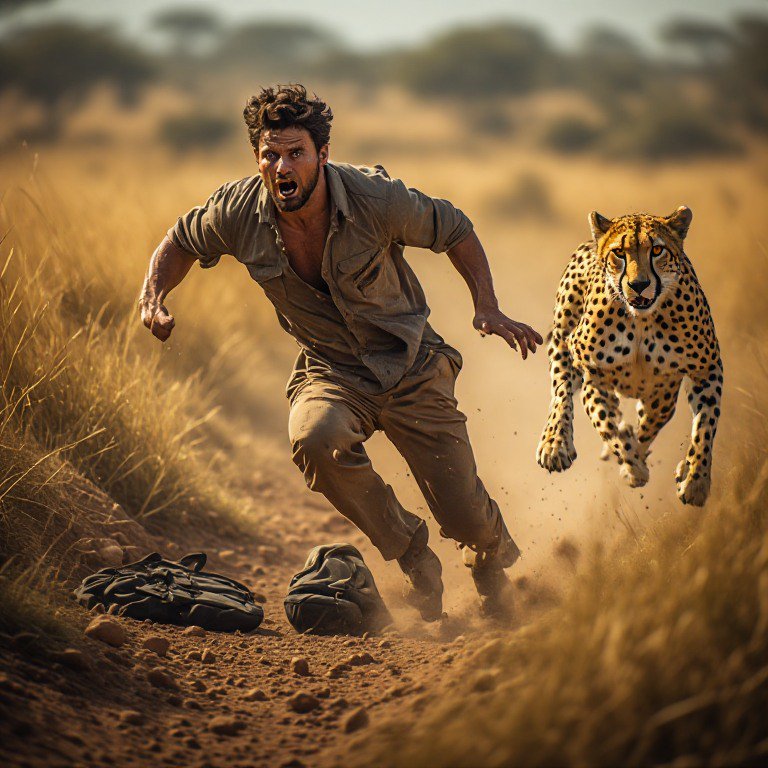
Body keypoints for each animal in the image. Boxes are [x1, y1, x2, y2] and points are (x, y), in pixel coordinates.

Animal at [536, 205, 723, 506]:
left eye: (657, 250)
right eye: (619, 253)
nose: (639, 284)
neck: (641, 319)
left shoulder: (701, 371)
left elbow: (703, 427)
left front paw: (695, 481)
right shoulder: (594, 376)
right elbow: (607, 426)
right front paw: (633, 468)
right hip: (563, 341)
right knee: (562, 393)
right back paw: (554, 444)